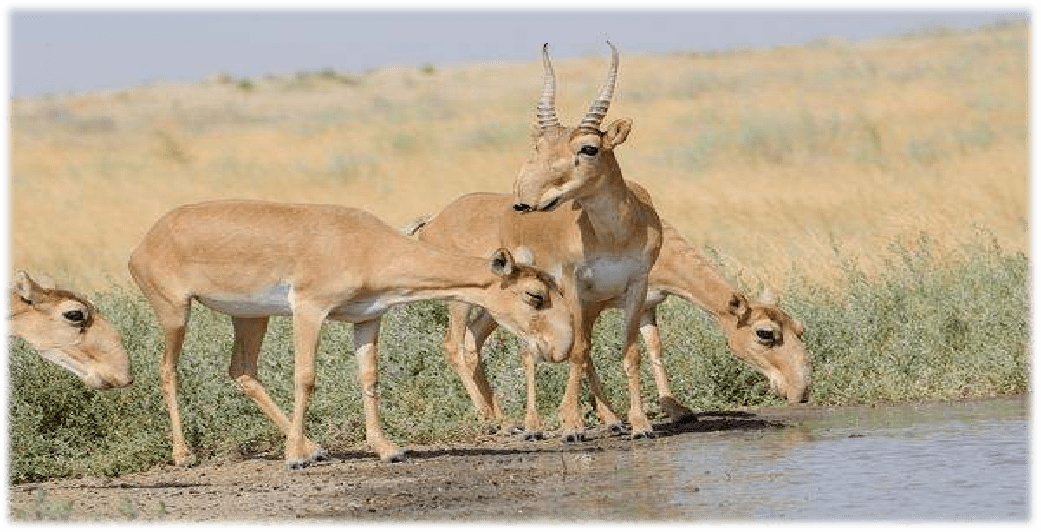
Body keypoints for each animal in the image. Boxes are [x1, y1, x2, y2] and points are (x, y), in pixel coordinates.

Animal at [128, 199, 578, 470]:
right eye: (535, 294)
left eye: (555, 289)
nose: (560, 348)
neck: (366, 245)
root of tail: (144, 243)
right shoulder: (309, 310)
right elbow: (305, 378)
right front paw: (292, 458)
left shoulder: (367, 320)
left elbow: (369, 378)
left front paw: (387, 448)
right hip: (176, 313)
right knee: (167, 370)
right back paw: (184, 454)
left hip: (251, 318)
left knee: (242, 371)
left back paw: (312, 446)